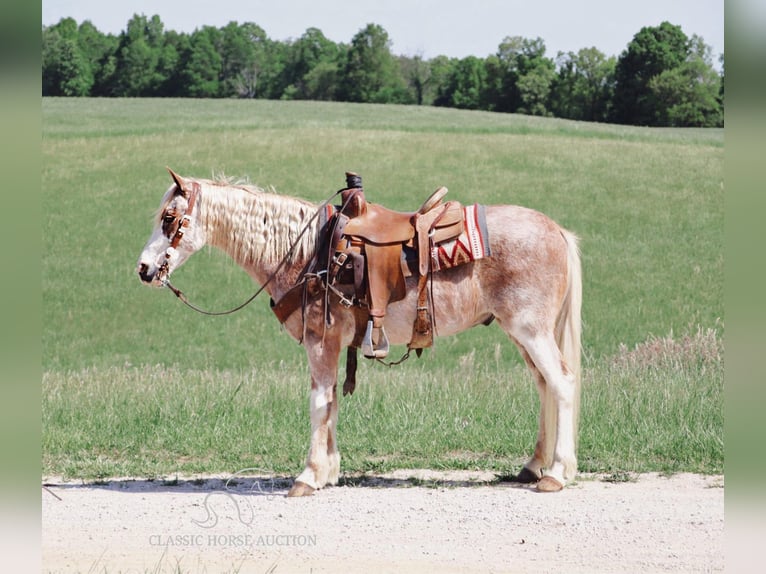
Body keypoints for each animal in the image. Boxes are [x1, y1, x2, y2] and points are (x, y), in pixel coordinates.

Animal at [136, 169, 584, 498]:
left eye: (169, 219)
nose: (143, 269)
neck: (309, 253)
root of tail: (558, 231)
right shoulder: (334, 344)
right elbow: (332, 401)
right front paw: (329, 472)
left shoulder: (320, 342)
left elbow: (319, 403)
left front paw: (308, 476)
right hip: (522, 334)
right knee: (544, 385)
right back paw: (533, 466)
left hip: (531, 330)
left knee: (561, 383)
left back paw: (556, 473)